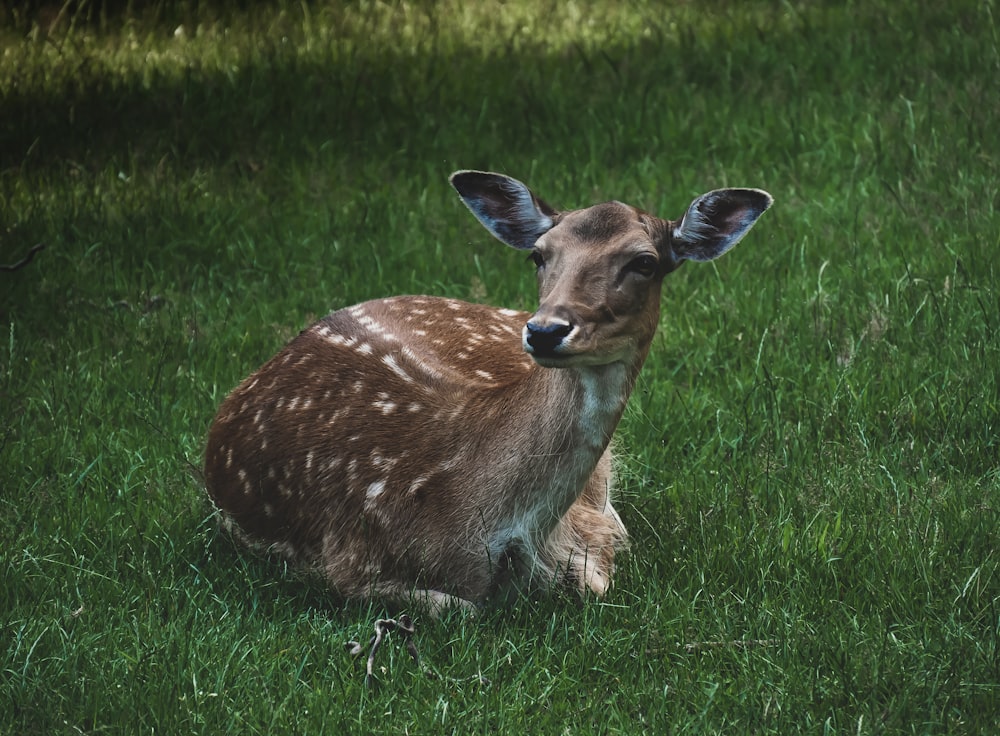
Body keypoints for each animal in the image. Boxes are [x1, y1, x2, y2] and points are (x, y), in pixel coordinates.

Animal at [205, 172, 772, 616]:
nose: (545, 330)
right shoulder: (346, 560)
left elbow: (595, 571)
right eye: (539, 255)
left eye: (645, 262)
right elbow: (463, 608)